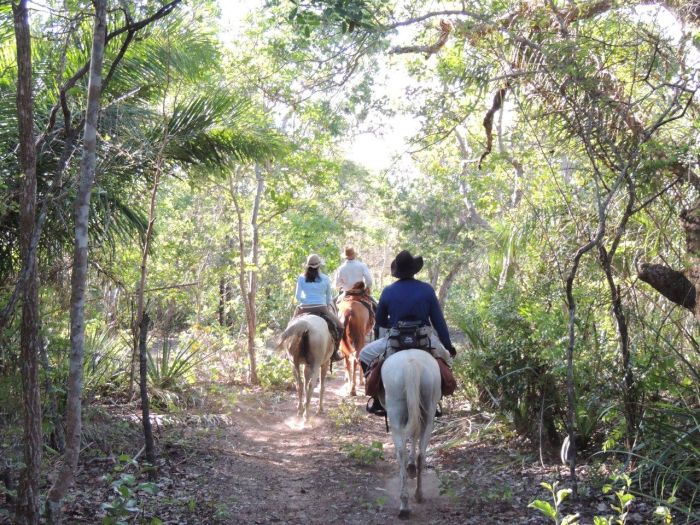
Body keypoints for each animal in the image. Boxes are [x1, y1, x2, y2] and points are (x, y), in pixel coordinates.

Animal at [380, 350, 440, 516]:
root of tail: (411, 363)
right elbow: (414, 436)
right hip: (428, 413)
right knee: (421, 453)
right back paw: (416, 496)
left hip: (395, 413)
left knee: (401, 453)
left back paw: (406, 503)